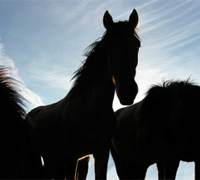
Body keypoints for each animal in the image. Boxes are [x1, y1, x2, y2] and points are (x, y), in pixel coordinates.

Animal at [25, 9, 141, 180]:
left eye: (137, 45)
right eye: (109, 46)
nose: (127, 91)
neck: (90, 108)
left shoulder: (100, 154)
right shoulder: (72, 158)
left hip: (52, 161)